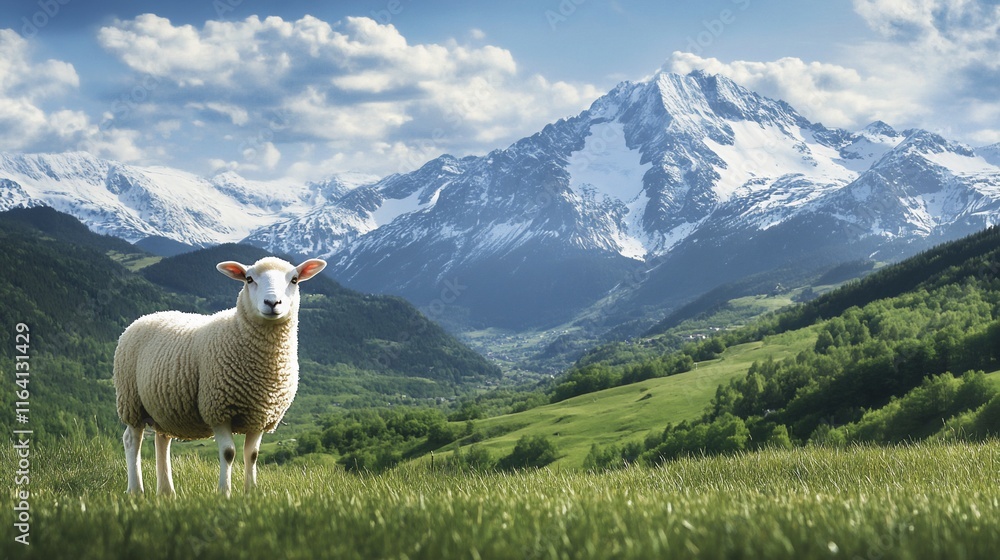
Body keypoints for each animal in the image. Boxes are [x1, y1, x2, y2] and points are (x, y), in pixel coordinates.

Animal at [113, 256, 326, 497]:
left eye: (294, 279)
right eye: (249, 279)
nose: (272, 303)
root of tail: (147, 316)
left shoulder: (260, 415)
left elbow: (252, 455)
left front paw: (251, 493)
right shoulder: (218, 410)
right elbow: (229, 453)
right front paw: (224, 493)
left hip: (164, 407)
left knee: (162, 440)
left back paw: (167, 492)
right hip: (131, 400)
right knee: (132, 440)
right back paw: (136, 490)